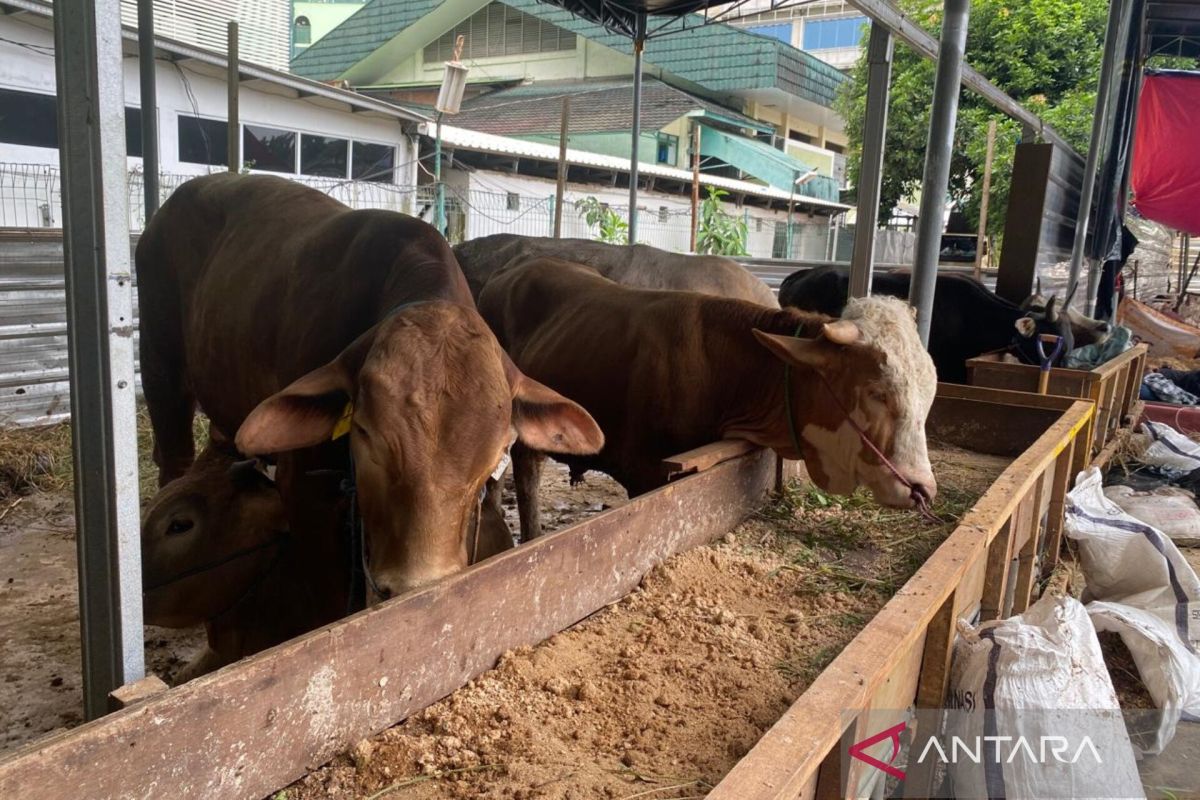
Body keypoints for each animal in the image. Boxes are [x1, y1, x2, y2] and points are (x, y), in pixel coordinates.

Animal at [136, 174, 602, 623]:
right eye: (364, 433)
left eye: (494, 456)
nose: (416, 586)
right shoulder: (305, 494)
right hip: (161, 369)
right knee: (173, 460)